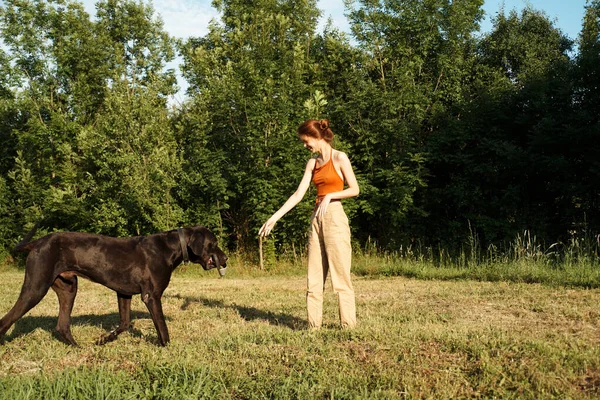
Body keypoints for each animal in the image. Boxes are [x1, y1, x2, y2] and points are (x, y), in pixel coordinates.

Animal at [0, 227, 227, 346]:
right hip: (35, 288)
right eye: (214, 243)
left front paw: (104, 339)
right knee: (6, 320)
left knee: (62, 326)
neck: (170, 247)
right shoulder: (151, 296)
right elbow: (162, 328)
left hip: (68, 289)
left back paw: (78, 347)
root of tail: (37, 242)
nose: (225, 259)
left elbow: (124, 323)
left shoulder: (124, 293)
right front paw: (167, 349)